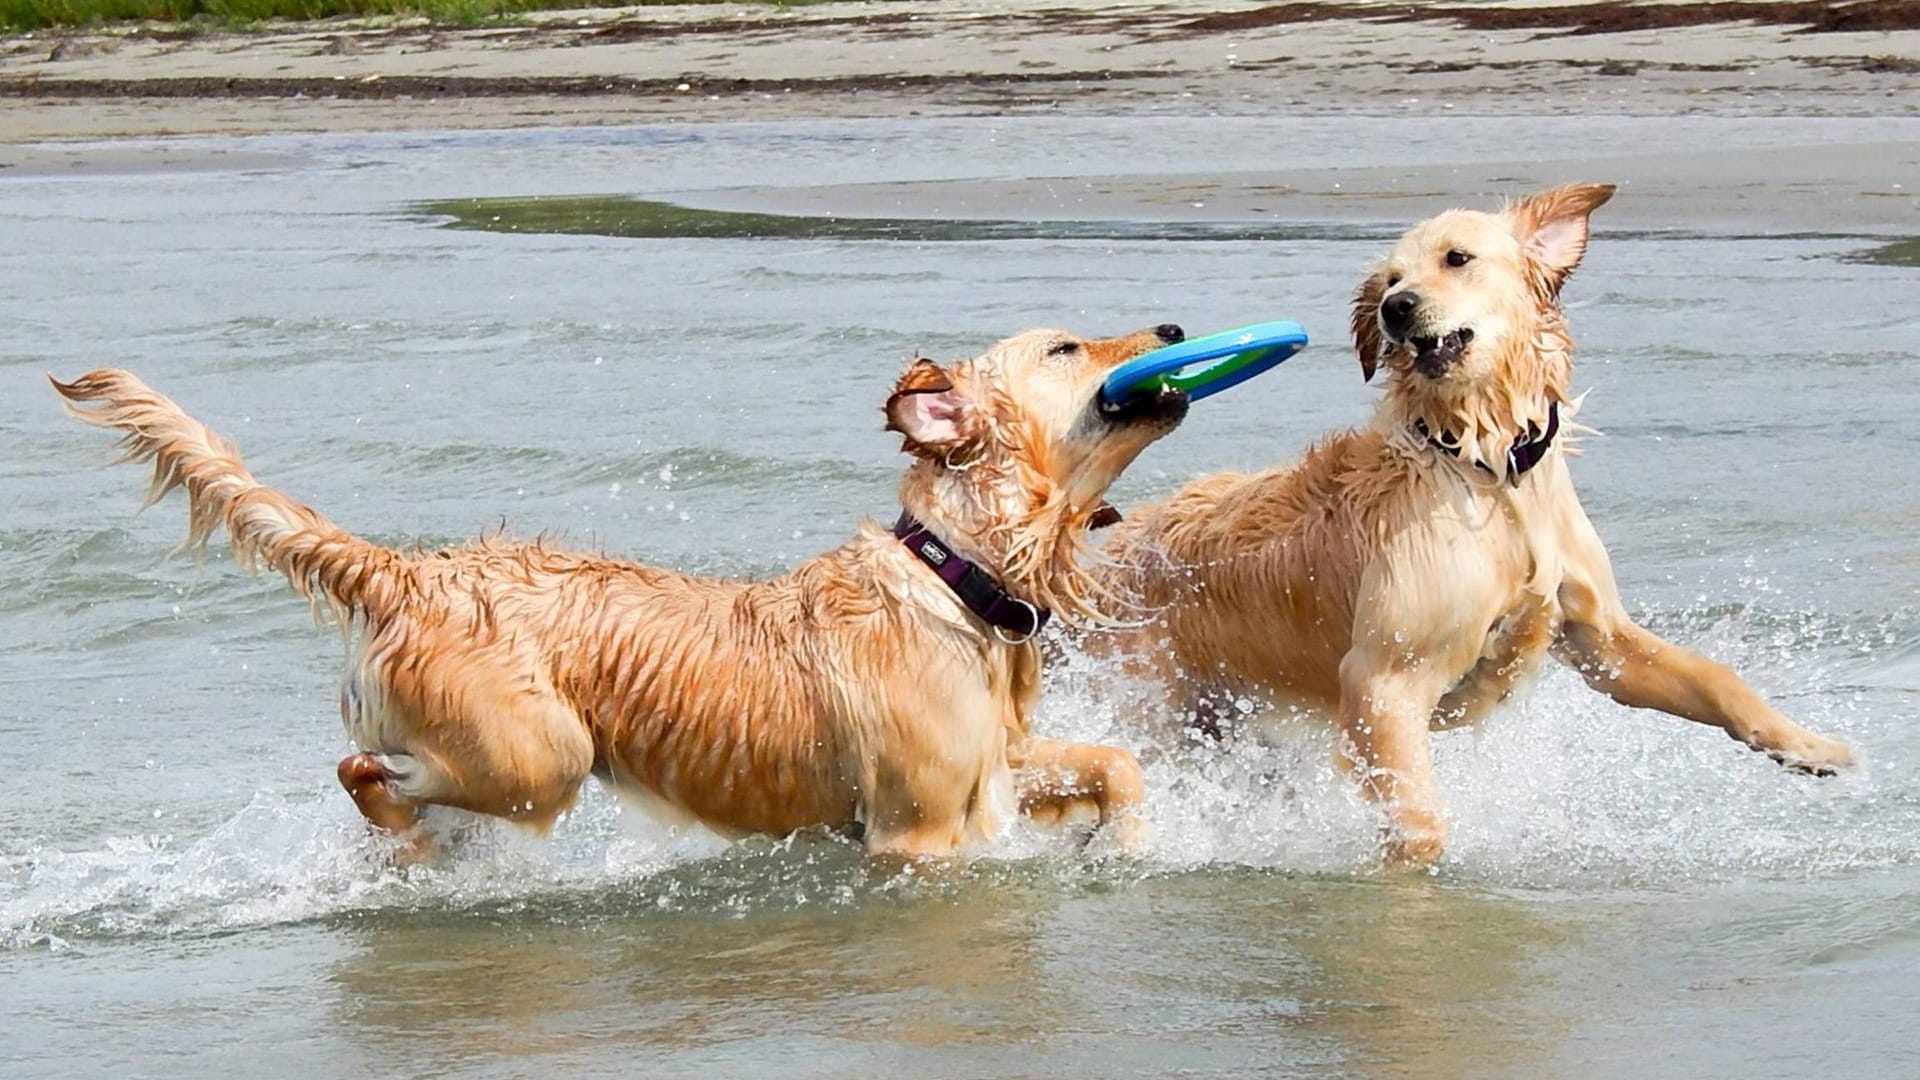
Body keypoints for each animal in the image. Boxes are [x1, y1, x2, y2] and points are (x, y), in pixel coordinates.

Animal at [1105, 182, 1850, 857]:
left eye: (1456, 258)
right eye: (1392, 279)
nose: (1396, 309)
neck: (1488, 467)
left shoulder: (1600, 638)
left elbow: (1713, 678)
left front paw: (1812, 746)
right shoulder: (1384, 679)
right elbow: (1418, 820)